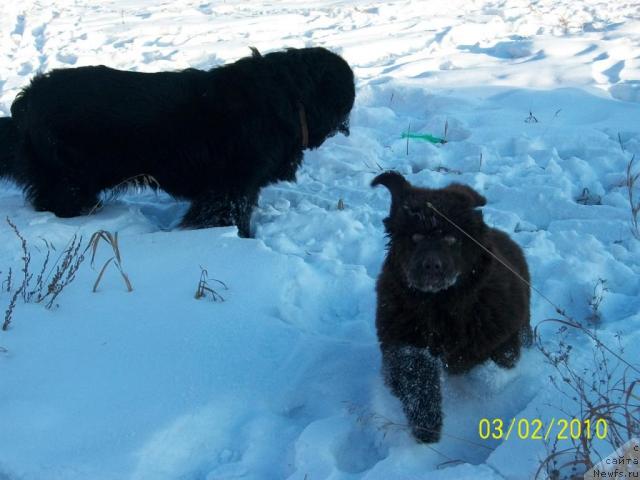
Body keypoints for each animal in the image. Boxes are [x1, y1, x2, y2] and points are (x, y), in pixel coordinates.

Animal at [370, 172, 528, 442]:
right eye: (415, 238)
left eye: (452, 239)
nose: (431, 266)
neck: (440, 307)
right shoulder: (403, 341)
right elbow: (416, 378)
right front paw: (427, 425)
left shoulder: (503, 333)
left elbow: (496, 366)